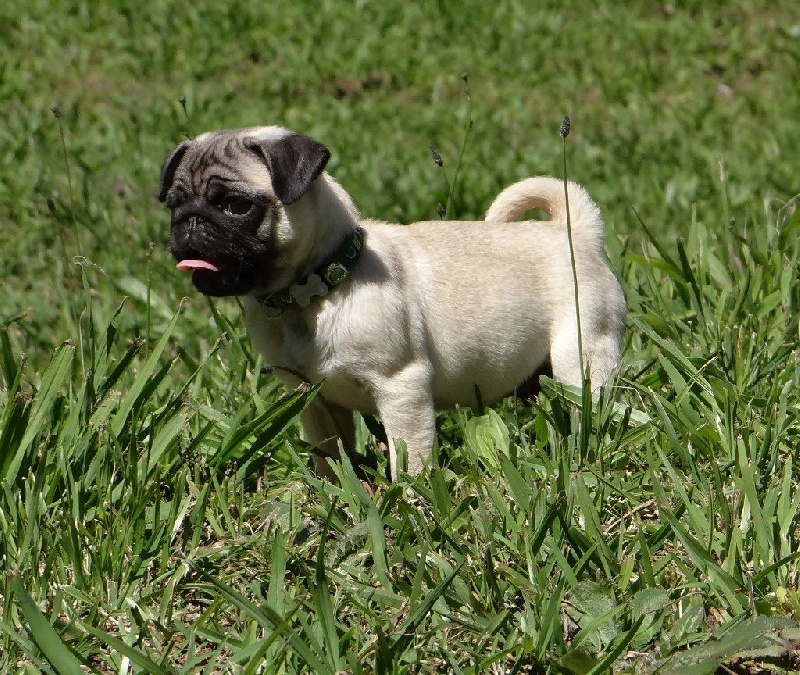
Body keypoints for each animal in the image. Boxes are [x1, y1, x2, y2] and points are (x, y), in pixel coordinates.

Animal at [159, 126, 625, 480]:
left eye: (236, 205)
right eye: (173, 203)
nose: (189, 222)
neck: (313, 293)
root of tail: (575, 233)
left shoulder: (401, 388)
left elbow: (410, 457)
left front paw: (410, 499)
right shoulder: (310, 398)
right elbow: (328, 452)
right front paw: (331, 490)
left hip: (582, 353)